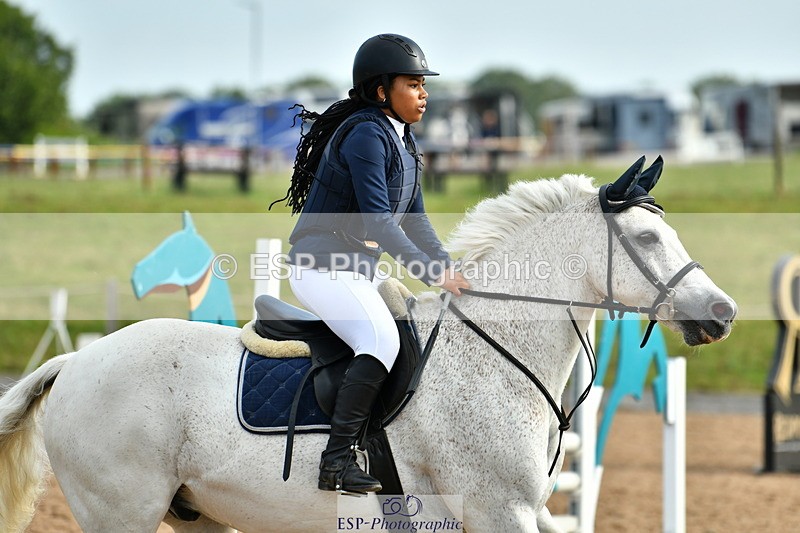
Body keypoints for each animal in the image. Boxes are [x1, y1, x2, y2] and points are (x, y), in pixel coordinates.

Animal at [0, 159, 736, 532]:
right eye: (646, 240)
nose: (723, 312)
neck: (495, 349)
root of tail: (78, 360)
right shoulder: (500, 510)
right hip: (119, 512)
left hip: (193, 515)